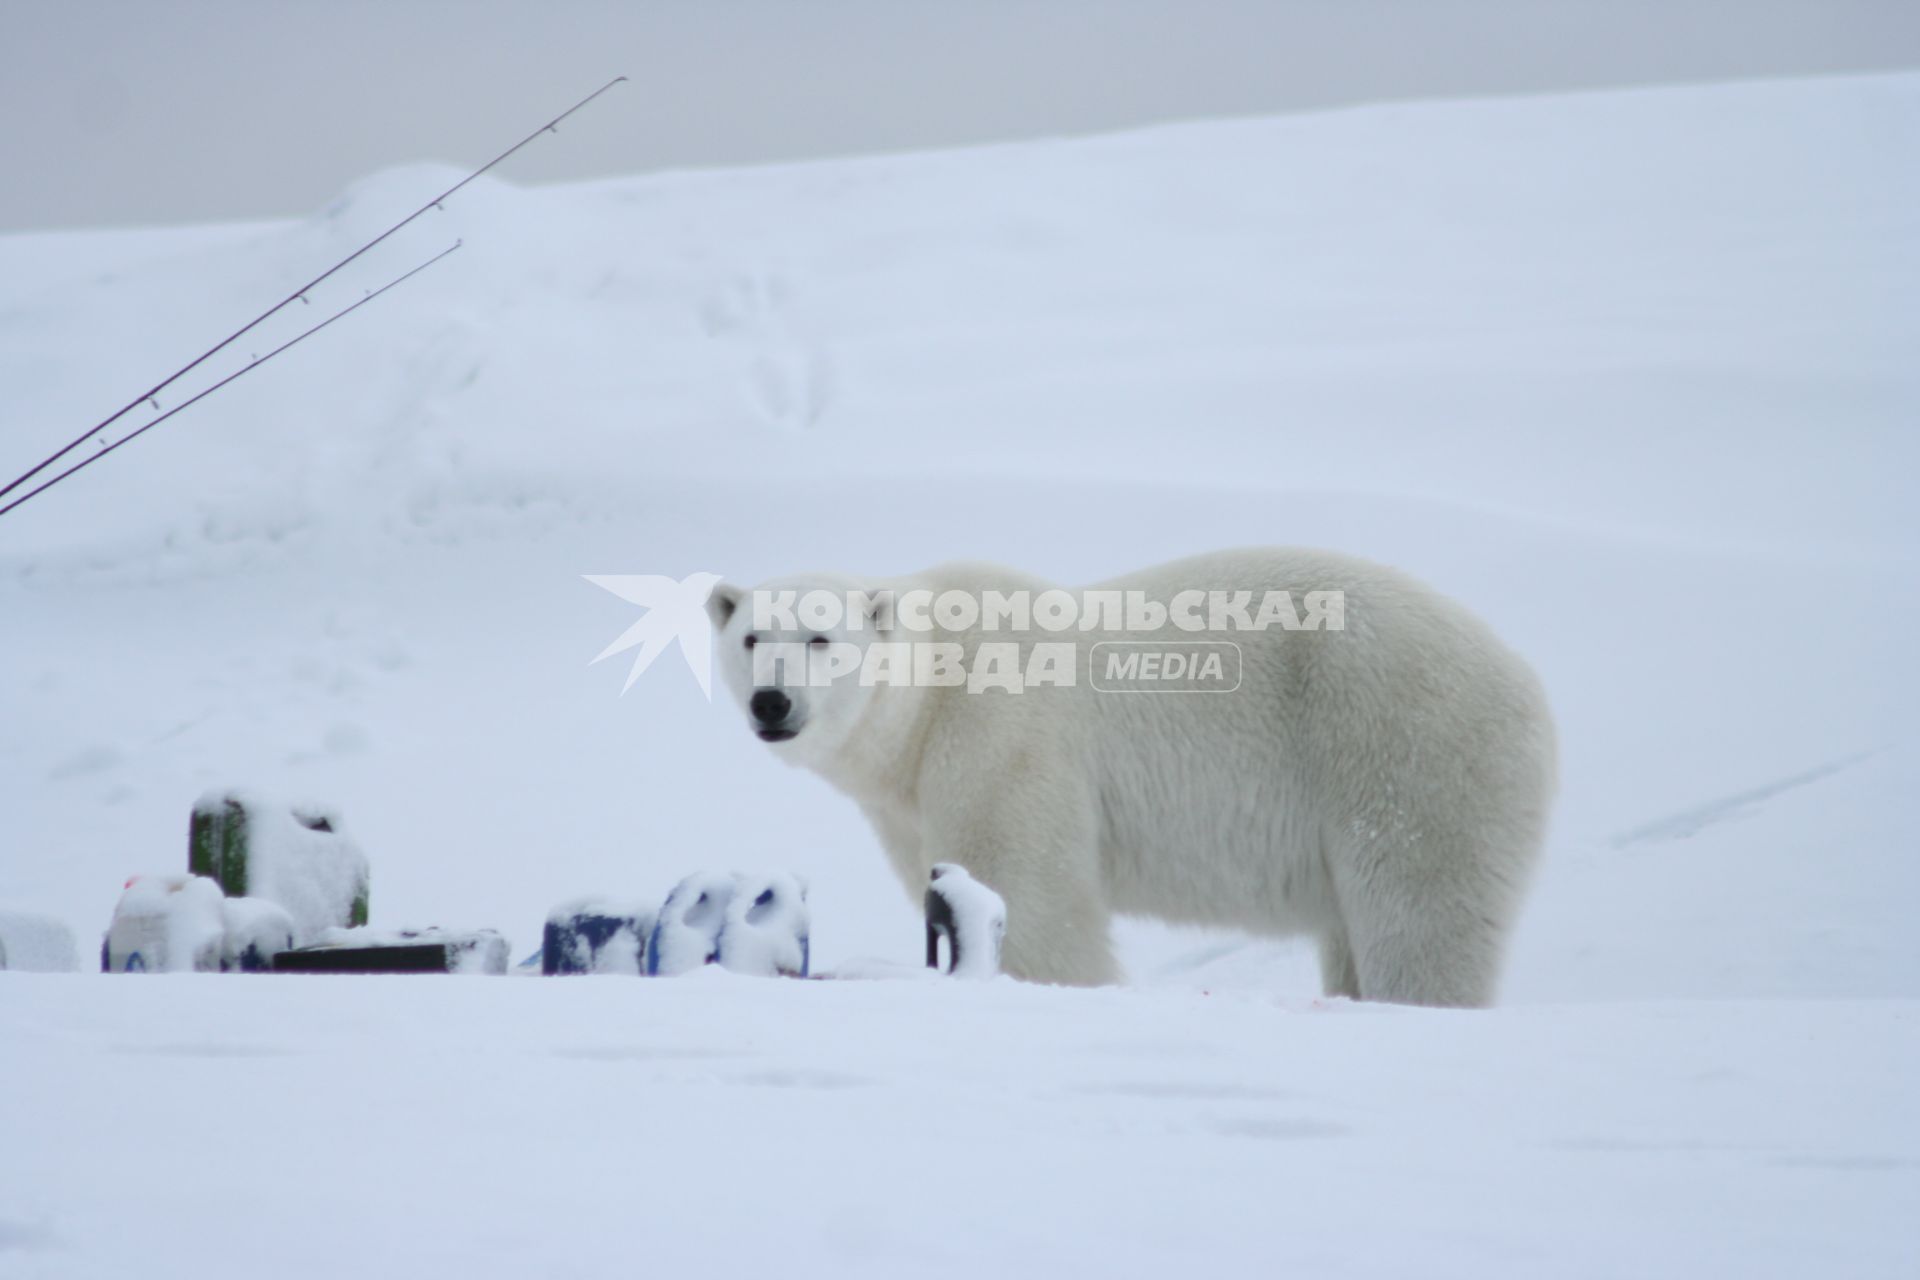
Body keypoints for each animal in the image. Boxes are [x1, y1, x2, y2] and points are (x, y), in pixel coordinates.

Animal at [714, 545, 1551, 1005]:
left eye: (820, 636)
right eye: (751, 636)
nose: (772, 700)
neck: (930, 697)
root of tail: (1526, 686)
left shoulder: (1005, 738)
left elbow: (1033, 899)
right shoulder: (909, 798)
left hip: (1406, 750)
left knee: (1418, 916)